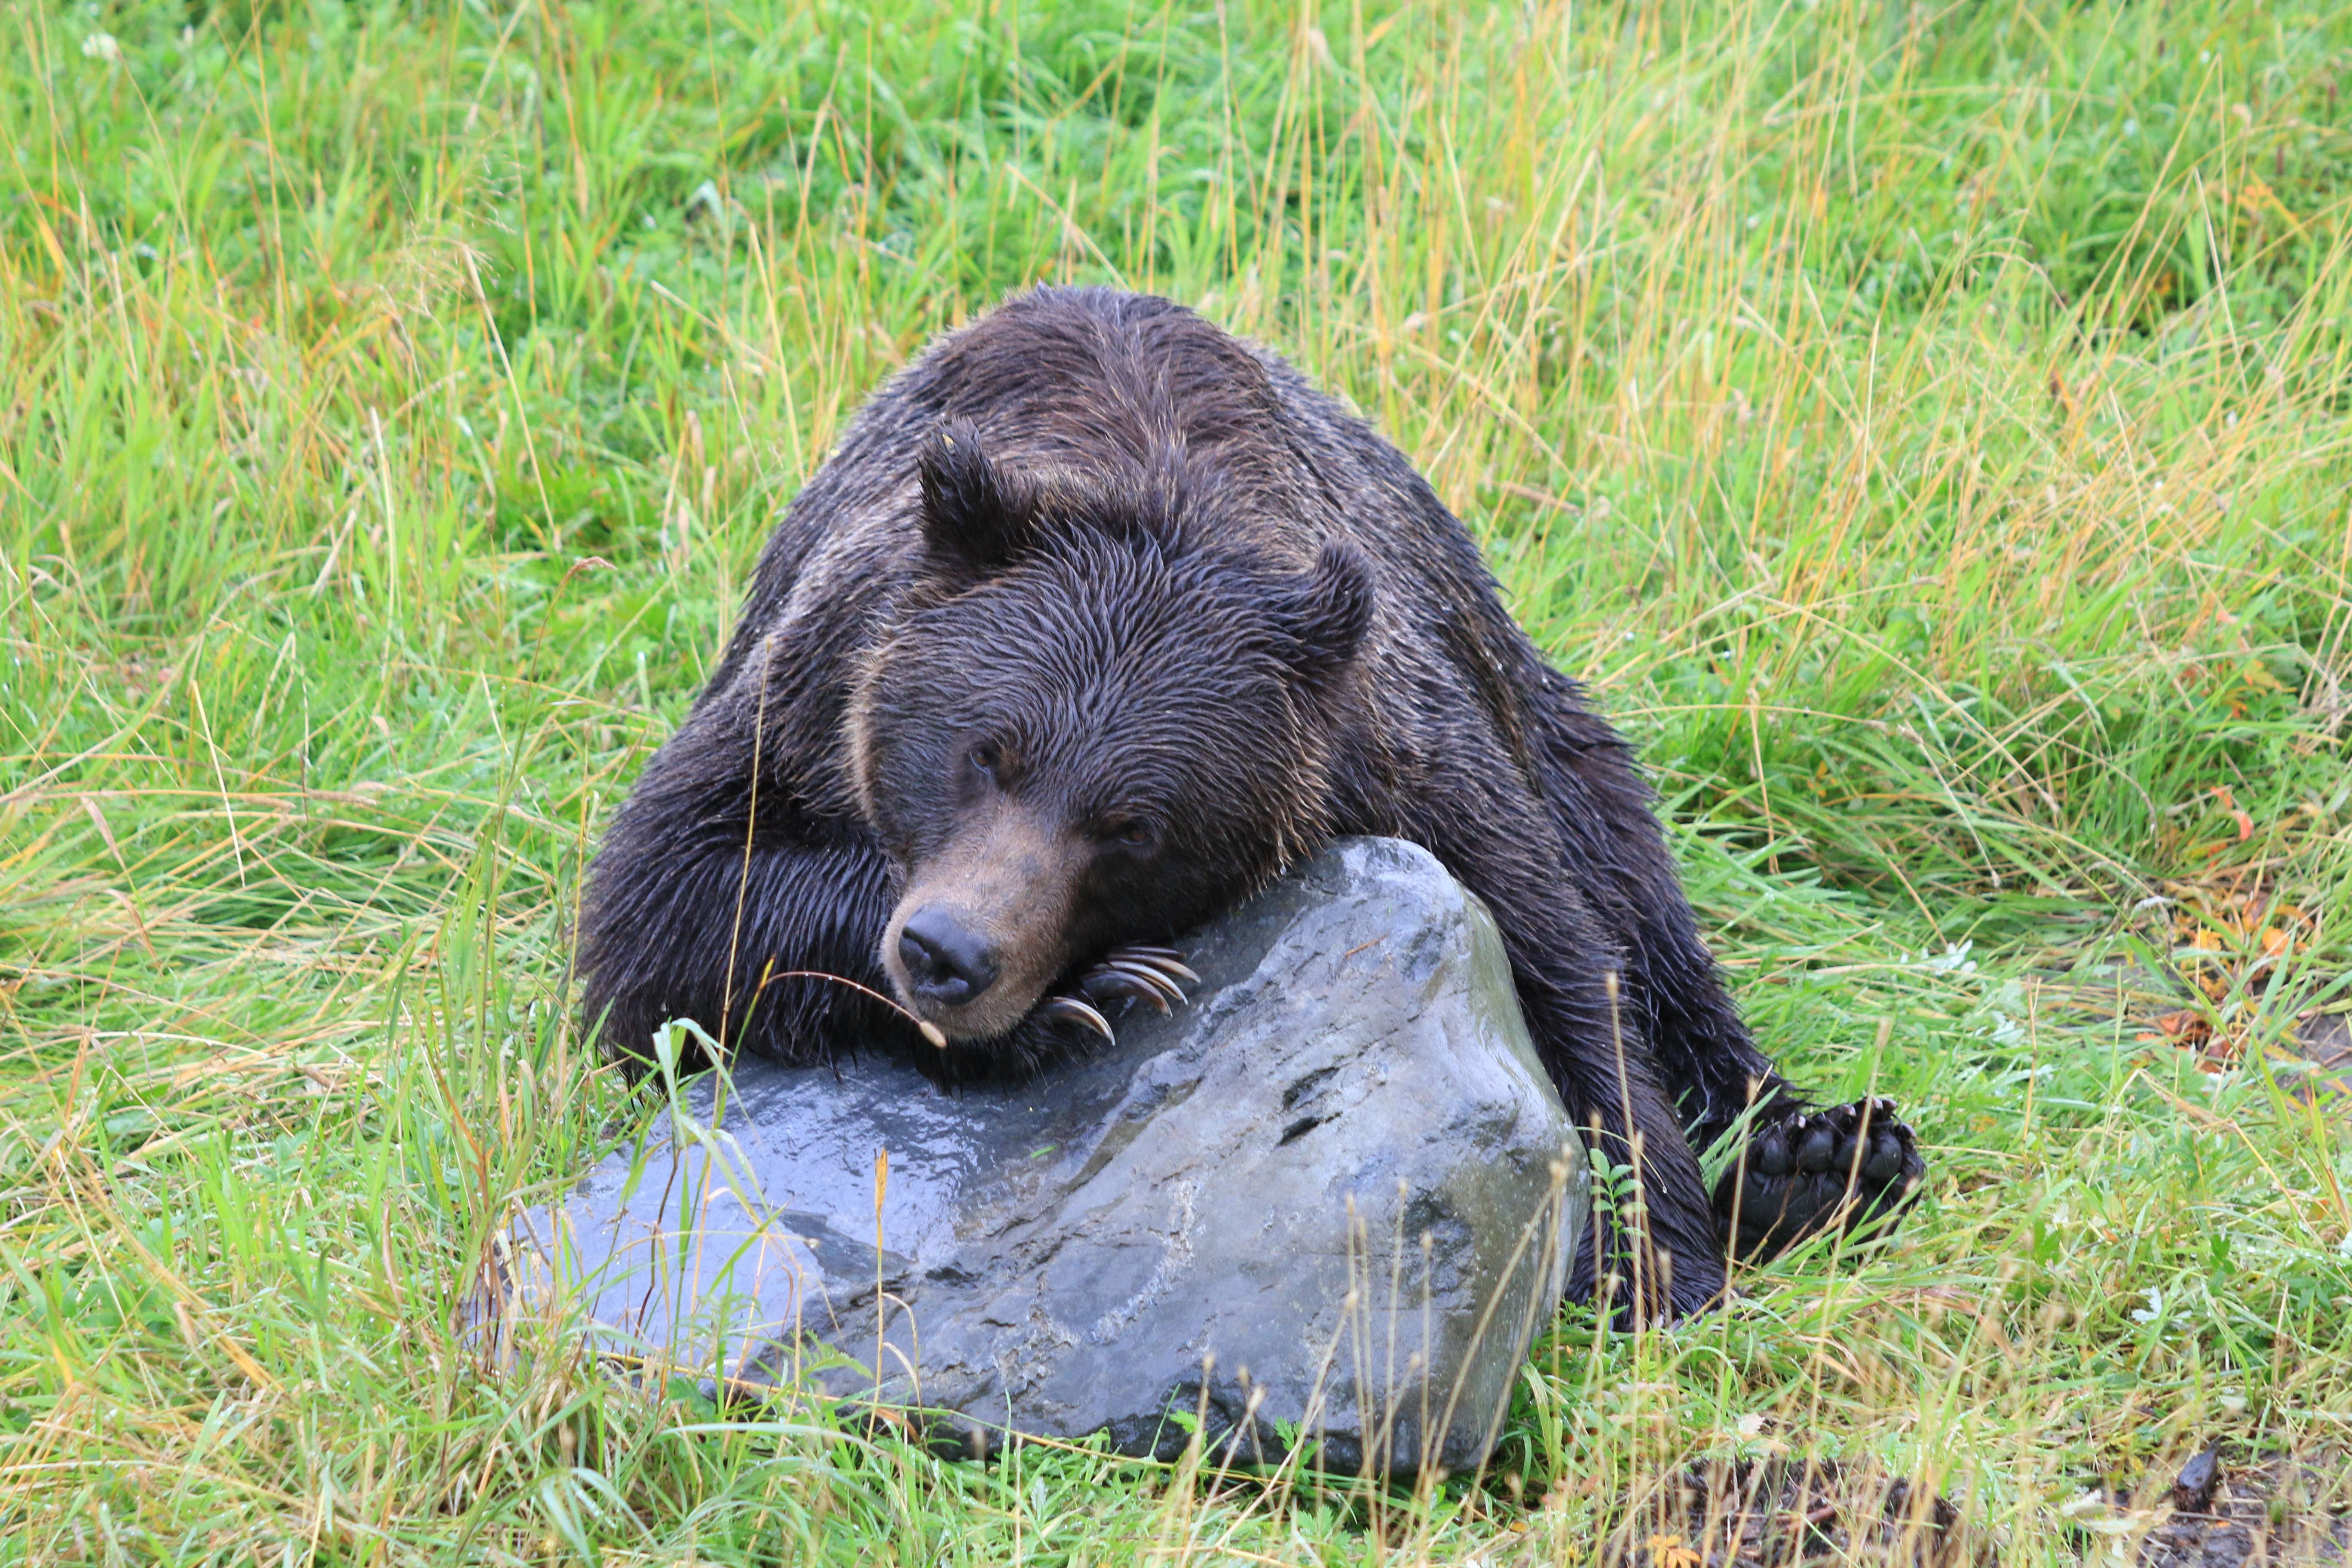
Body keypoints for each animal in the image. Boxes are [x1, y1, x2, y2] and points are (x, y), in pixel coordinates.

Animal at [576, 286, 1924, 1318]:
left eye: (1129, 826)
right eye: (983, 753)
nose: (950, 954)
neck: (1154, 488)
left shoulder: (1396, 757)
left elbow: (1561, 963)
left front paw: (1653, 1259)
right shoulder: (812, 688)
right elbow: (667, 900)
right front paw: (1089, 993)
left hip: (1541, 710)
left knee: (1643, 898)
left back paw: (1820, 1154)